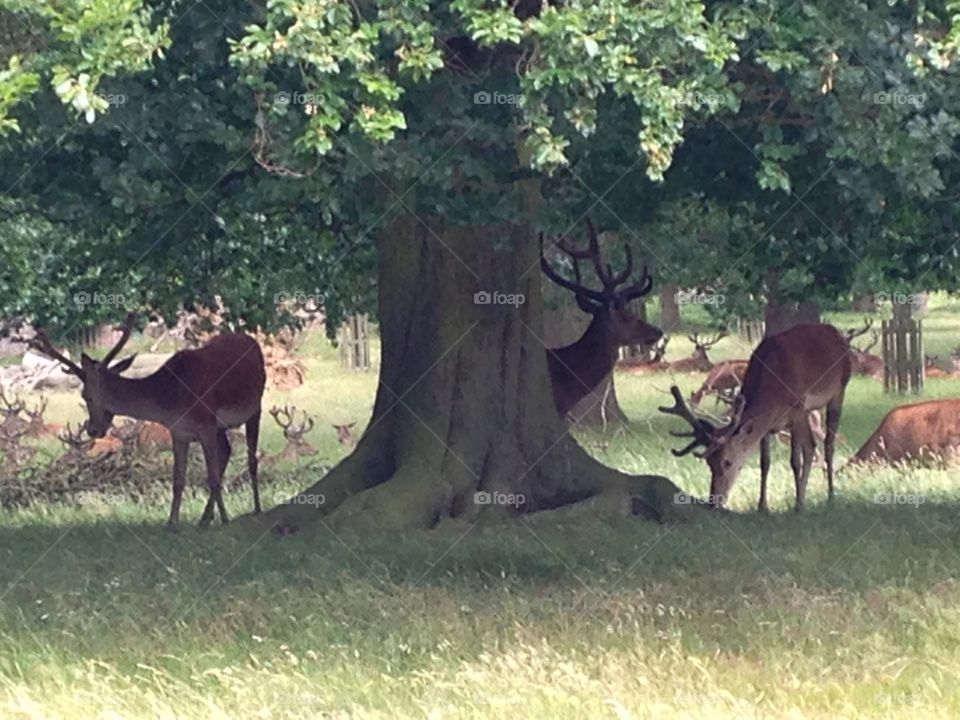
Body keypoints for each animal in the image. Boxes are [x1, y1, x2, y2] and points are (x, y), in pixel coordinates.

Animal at [27, 313, 266, 529]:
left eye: (86, 395)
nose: (93, 430)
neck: (172, 398)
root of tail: (251, 340)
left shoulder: (206, 424)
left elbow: (213, 478)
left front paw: (225, 520)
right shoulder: (179, 432)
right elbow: (178, 480)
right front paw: (172, 523)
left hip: (255, 407)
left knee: (251, 459)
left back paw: (256, 508)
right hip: (220, 426)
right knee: (227, 450)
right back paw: (205, 518)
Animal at [659, 324, 852, 512]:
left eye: (727, 462)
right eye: (709, 463)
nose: (714, 501)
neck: (773, 393)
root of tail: (836, 333)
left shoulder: (797, 410)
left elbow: (795, 461)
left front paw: (798, 505)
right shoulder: (769, 423)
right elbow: (764, 462)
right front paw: (762, 506)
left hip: (838, 390)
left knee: (828, 444)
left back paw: (830, 495)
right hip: (808, 412)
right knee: (811, 446)